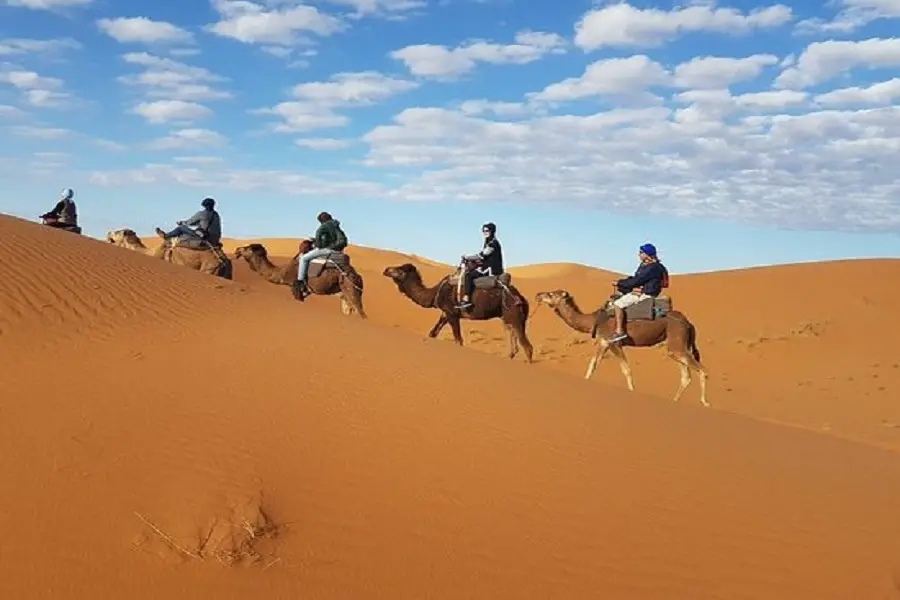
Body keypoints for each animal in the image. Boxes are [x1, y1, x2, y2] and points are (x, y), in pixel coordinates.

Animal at [382, 262, 536, 360]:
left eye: (399, 270)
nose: (386, 269)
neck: (435, 293)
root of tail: (522, 298)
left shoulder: (452, 314)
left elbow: (458, 340)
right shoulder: (445, 313)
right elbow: (432, 333)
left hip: (514, 314)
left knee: (527, 347)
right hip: (508, 317)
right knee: (514, 341)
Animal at [536, 288, 712, 406]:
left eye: (551, 294)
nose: (538, 294)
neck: (593, 320)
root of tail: (688, 323)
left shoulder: (613, 342)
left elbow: (626, 370)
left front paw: (632, 392)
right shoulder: (604, 342)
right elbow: (593, 365)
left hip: (676, 340)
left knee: (702, 370)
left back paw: (705, 402)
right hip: (677, 345)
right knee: (686, 375)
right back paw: (674, 401)